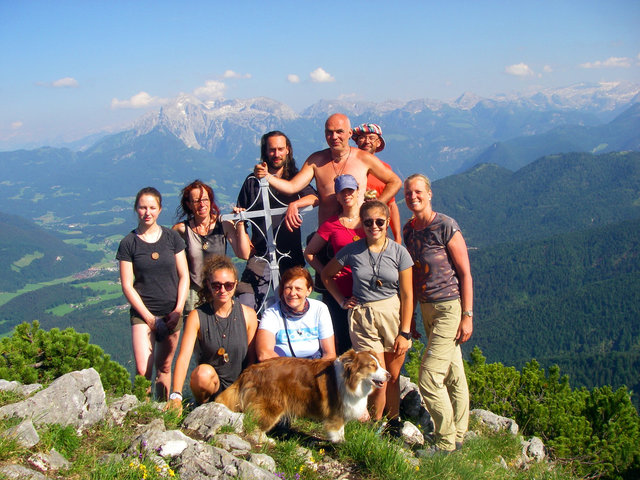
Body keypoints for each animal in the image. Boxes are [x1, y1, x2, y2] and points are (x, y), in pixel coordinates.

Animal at [216, 348, 390, 442]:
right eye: (372, 366)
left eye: (379, 364)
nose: (388, 375)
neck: (351, 380)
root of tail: (250, 370)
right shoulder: (336, 413)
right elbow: (337, 432)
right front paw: (341, 444)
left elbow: (341, 431)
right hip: (272, 407)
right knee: (255, 426)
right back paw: (265, 441)